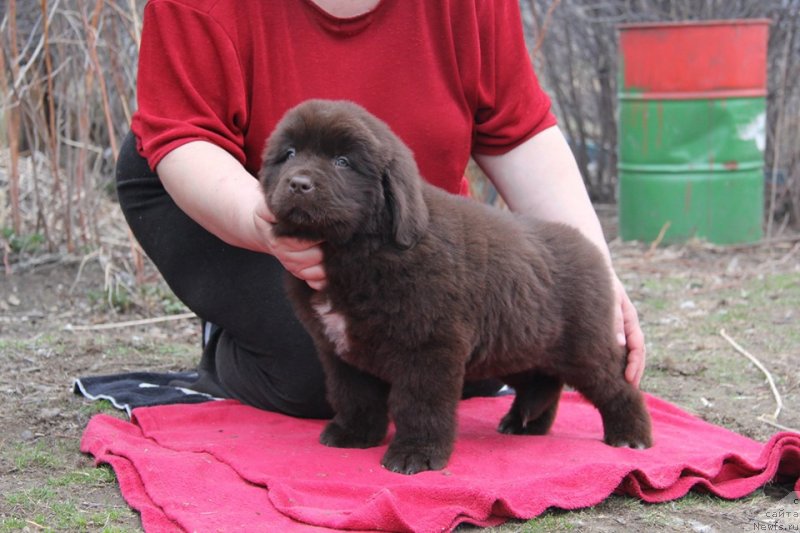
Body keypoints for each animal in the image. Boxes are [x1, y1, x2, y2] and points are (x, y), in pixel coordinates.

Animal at [260, 100, 652, 474]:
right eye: (289, 154)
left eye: (342, 162)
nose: (298, 183)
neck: (359, 250)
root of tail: (592, 248)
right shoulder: (340, 350)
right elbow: (355, 396)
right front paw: (355, 435)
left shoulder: (429, 346)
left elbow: (420, 404)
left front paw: (415, 455)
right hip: (516, 343)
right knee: (542, 382)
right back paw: (525, 424)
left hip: (582, 346)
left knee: (617, 387)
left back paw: (630, 436)